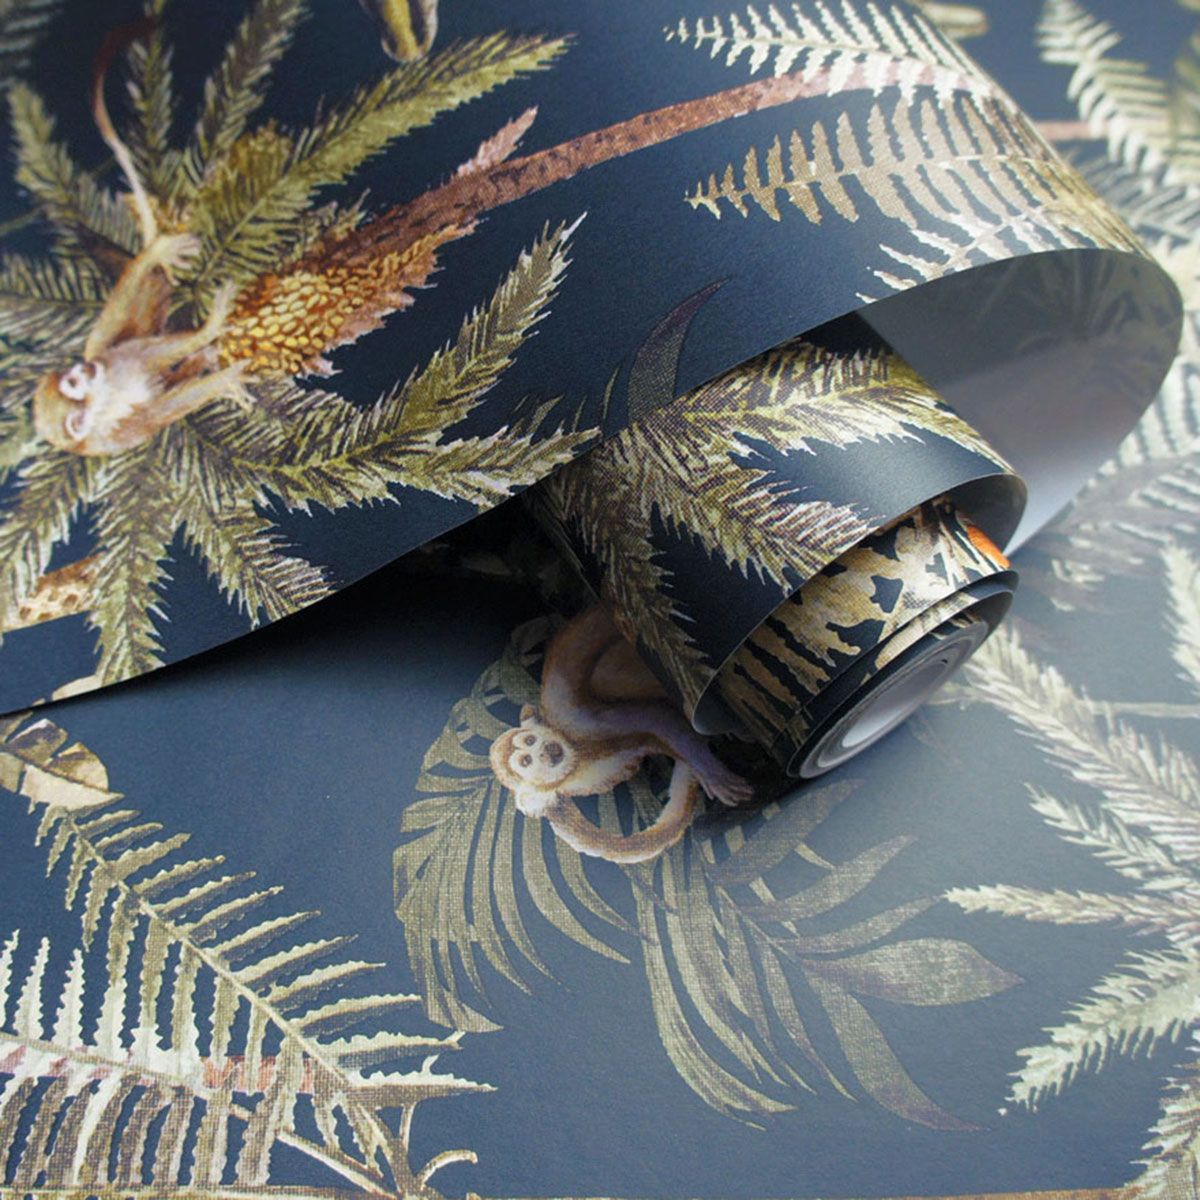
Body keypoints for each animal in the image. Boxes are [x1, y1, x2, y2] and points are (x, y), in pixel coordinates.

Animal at [32, 21, 251, 457]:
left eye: (75, 384)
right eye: (76, 418)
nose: (85, 376)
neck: (103, 401)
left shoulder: (108, 362)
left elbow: (149, 360)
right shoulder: (107, 436)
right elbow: (154, 414)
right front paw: (211, 344)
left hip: (118, 332)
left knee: (123, 315)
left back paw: (156, 254)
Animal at [489, 606, 753, 864]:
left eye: (530, 740)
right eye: (526, 761)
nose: (549, 750)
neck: (577, 754)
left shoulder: (579, 722)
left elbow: (654, 718)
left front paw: (711, 771)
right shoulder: (562, 795)